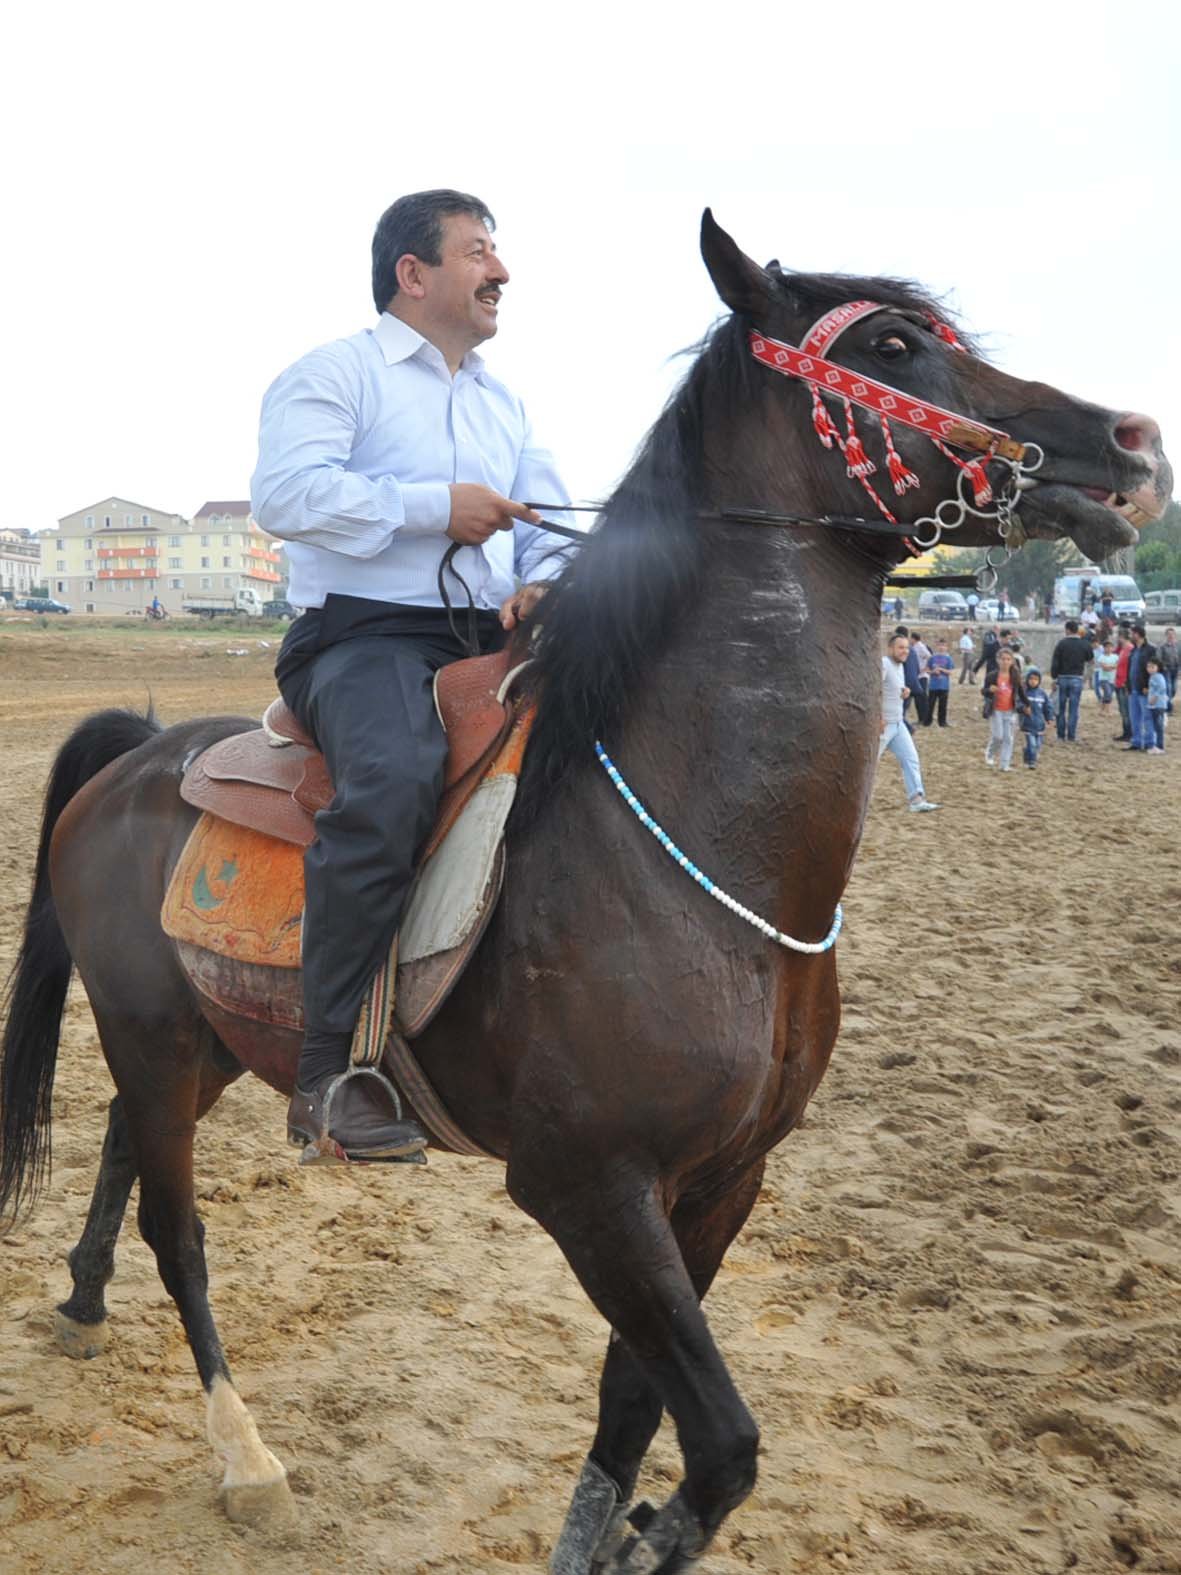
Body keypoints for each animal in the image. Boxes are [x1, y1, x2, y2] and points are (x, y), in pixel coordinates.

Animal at [0, 212, 1171, 1575]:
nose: (1132, 443)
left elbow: (632, 1409)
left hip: (212, 1042)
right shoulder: (589, 1190)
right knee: (177, 1232)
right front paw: (644, 1535)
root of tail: (135, 753)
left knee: (127, 1150)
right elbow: (719, 1446)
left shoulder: (716, 1186)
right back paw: (245, 1458)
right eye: (888, 345)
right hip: (149, 1033)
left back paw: (83, 1302)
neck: (710, 862)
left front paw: (611, 1534)